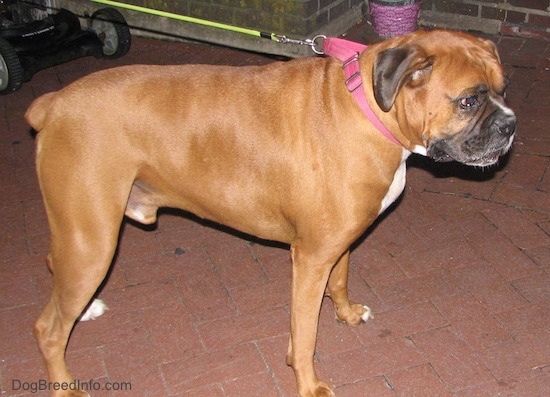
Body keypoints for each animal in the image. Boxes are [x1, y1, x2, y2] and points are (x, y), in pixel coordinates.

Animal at [25, 31, 516, 396]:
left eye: (502, 90)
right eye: (469, 101)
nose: (510, 124)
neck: (371, 109)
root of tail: (55, 103)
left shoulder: (338, 245)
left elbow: (340, 280)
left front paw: (346, 313)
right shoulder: (310, 260)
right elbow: (305, 335)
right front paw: (309, 383)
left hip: (80, 234)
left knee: (53, 269)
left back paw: (86, 309)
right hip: (93, 242)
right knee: (48, 328)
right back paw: (66, 382)